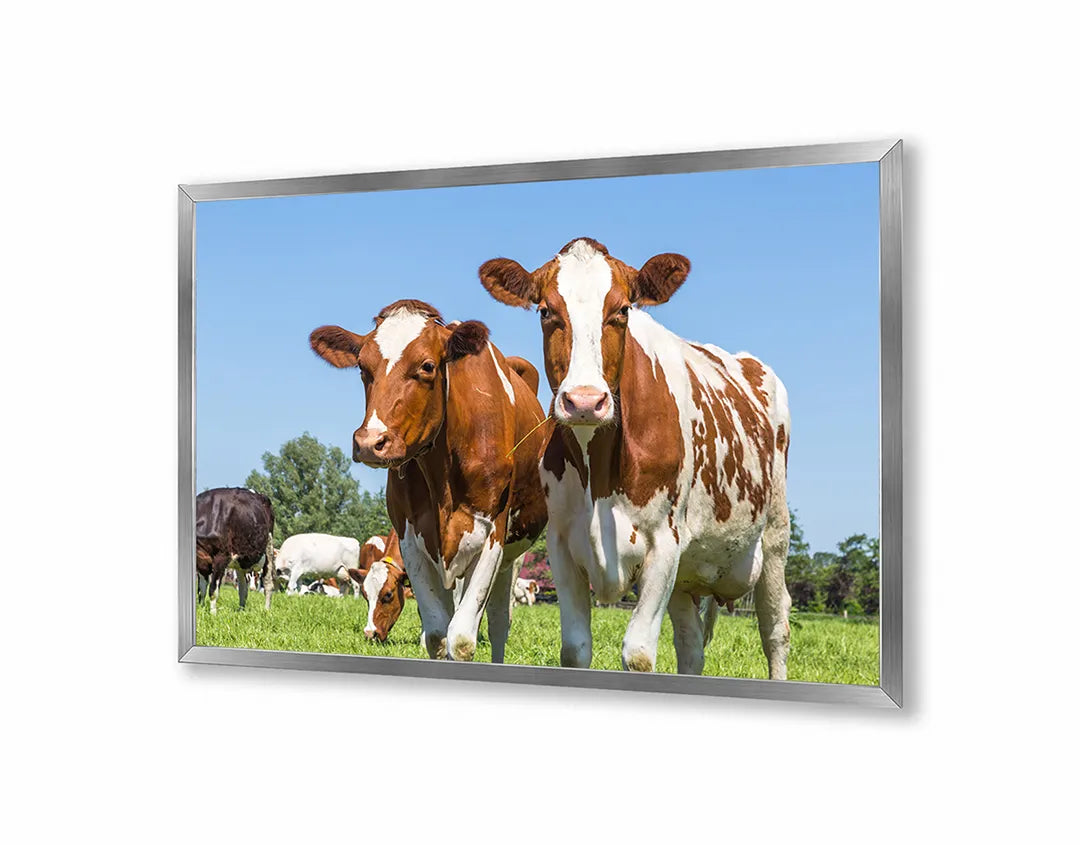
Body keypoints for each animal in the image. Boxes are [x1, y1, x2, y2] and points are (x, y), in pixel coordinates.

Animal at [310, 299, 548, 662]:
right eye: (362, 367)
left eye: (427, 366)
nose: (370, 442)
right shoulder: (413, 538)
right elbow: (437, 633)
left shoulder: (491, 535)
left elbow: (461, 639)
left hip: (513, 554)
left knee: (499, 621)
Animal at [479, 238, 792, 678]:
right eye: (545, 310)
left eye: (623, 310)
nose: (585, 402)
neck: (599, 476)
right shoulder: (562, 543)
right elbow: (575, 649)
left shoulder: (665, 543)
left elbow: (639, 654)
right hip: (688, 575)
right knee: (691, 646)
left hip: (775, 537)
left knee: (775, 629)